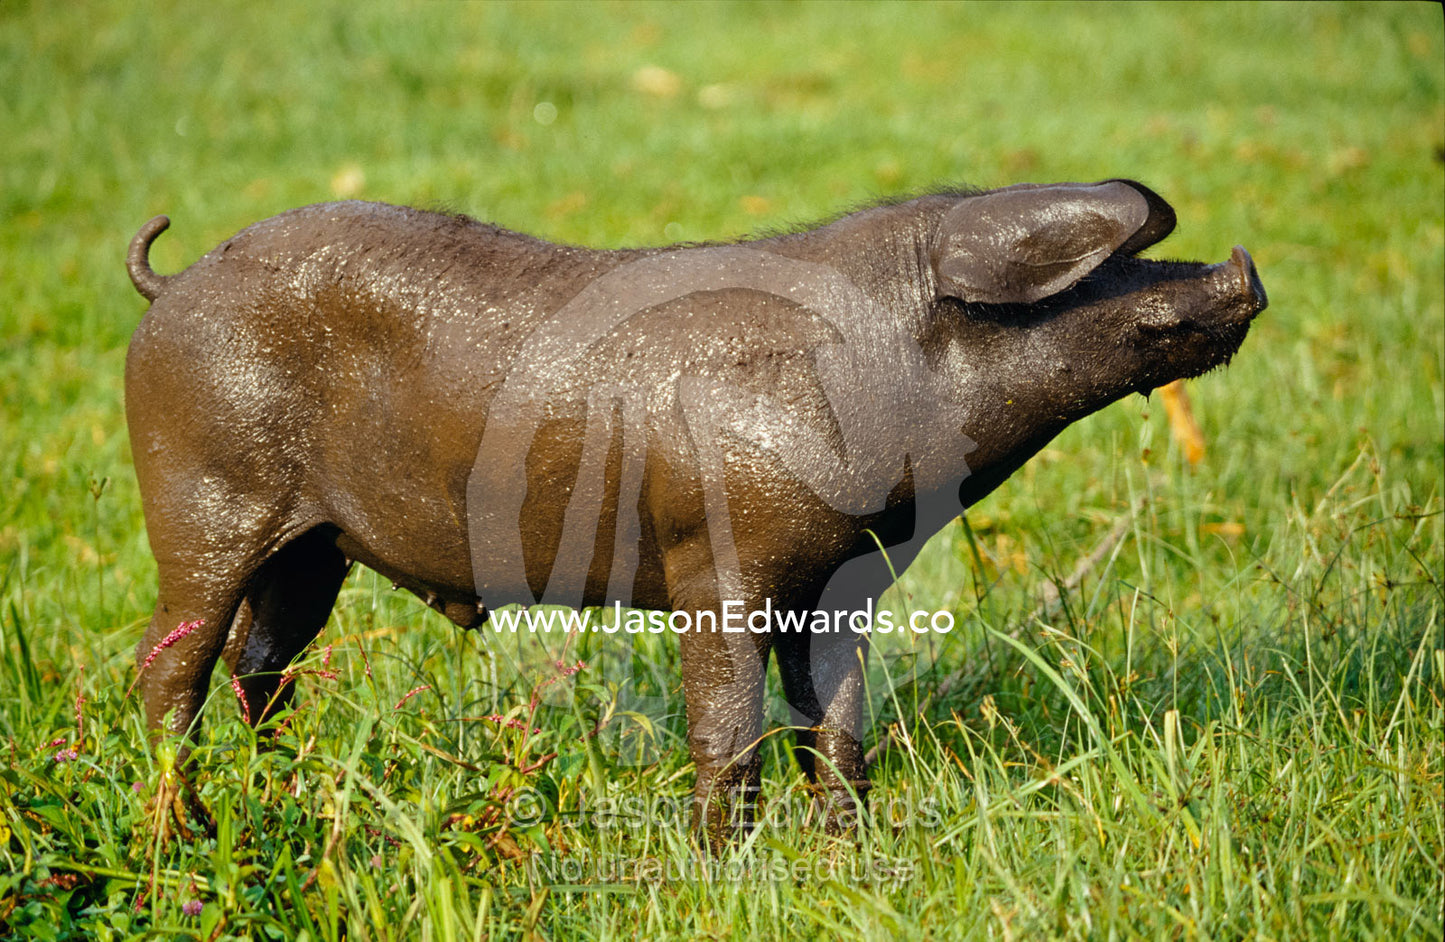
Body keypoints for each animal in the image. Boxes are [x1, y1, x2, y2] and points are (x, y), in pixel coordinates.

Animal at [124, 179, 1265, 843]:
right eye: (1093, 265)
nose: (1246, 269)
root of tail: (170, 285)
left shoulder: (840, 580)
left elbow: (834, 723)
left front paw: (851, 851)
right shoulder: (713, 566)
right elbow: (727, 729)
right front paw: (731, 866)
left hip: (314, 550)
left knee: (262, 664)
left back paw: (283, 796)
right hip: (200, 495)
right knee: (167, 667)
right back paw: (184, 833)